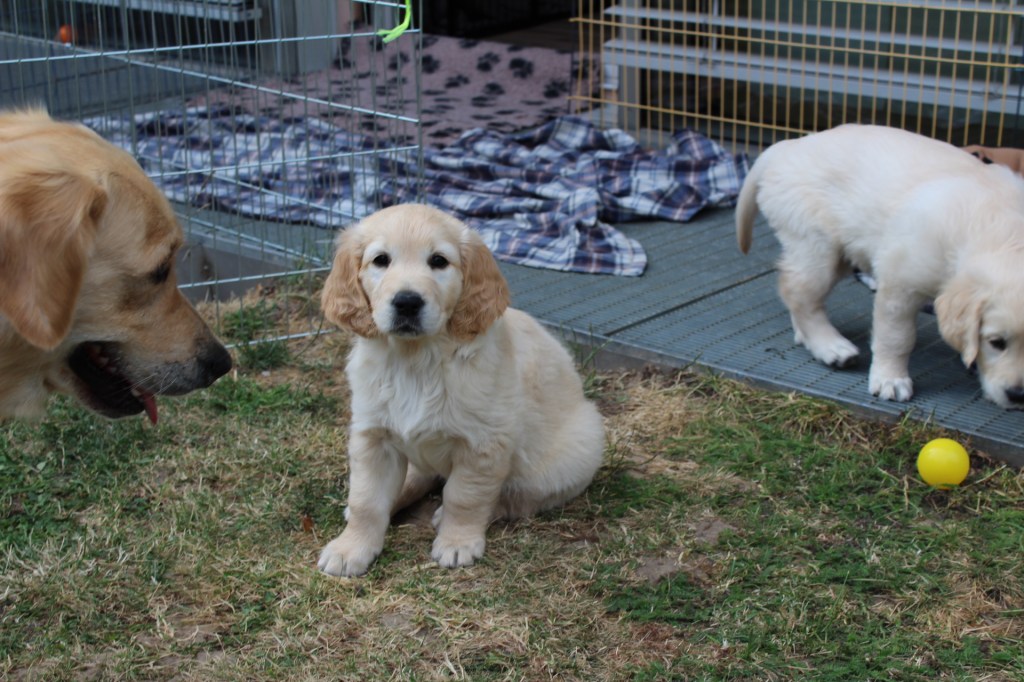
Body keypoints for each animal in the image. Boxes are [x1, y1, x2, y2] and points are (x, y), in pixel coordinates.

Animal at [317, 204, 606, 576]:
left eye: (439, 261)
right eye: (380, 260)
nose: (407, 302)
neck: (416, 360)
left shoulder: (483, 444)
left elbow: (464, 497)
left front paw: (457, 543)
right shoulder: (373, 437)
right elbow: (366, 499)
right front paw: (350, 548)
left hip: (573, 452)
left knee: (514, 498)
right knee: (418, 478)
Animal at [736, 123, 1024, 408]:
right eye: (996, 343)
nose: (1017, 395)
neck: (1003, 233)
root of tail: (788, 145)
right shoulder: (901, 281)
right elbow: (896, 337)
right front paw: (891, 380)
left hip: (843, 252)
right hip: (816, 246)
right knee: (798, 294)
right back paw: (830, 347)